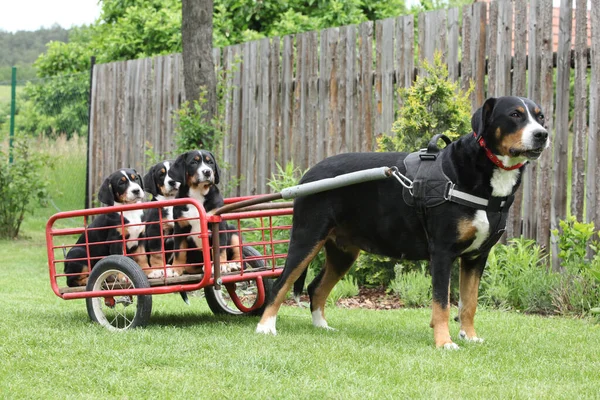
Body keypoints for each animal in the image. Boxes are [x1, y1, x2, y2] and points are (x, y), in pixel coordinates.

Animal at [166, 148, 241, 276]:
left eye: (210, 162)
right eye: (193, 162)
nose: (207, 172)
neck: (198, 193)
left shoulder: (219, 225)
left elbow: (220, 248)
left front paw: (221, 265)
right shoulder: (180, 228)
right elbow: (179, 251)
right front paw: (176, 269)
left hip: (233, 232)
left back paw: (234, 264)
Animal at [255, 95, 552, 348]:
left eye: (541, 117)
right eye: (515, 114)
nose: (542, 134)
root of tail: (309, 174)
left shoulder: (476, 256)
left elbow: (469, 303)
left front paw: (470, 336)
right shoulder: (442, 253)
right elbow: (442, 304)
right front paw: (444, 343)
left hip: (343, 252)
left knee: (316, 288)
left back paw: (322, 326)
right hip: (307, 238)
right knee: (281, 284)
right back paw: (265, 327)